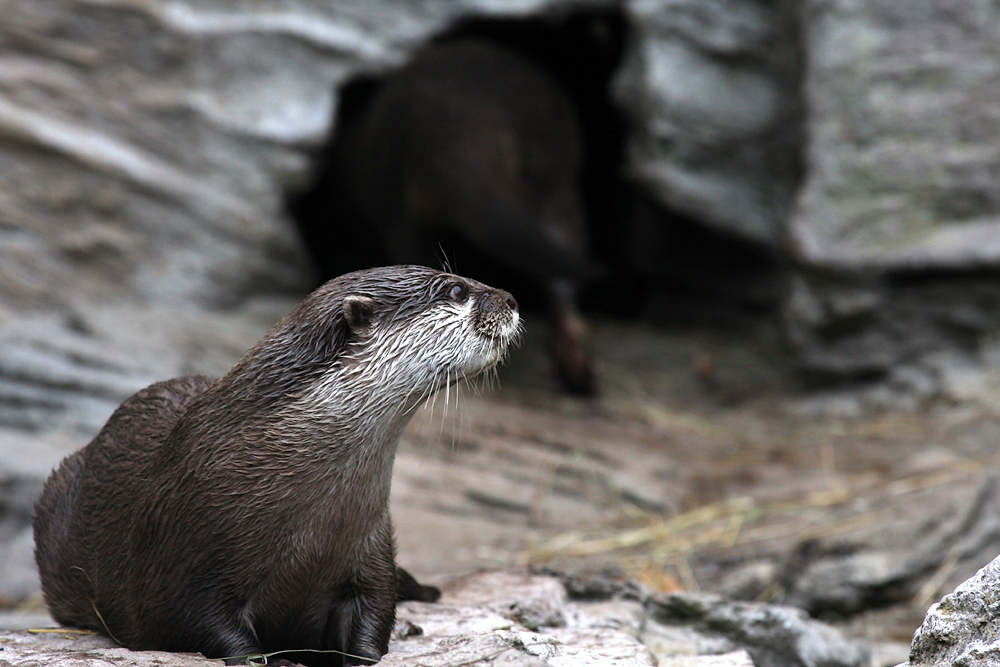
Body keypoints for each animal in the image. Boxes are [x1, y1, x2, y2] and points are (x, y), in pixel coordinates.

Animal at [32, 264, 520, 664]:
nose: (512, 299)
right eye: (457, 290)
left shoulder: (369, 543)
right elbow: (195, 621)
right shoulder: (180, 551)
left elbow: (375, 612)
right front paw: (271, 658)